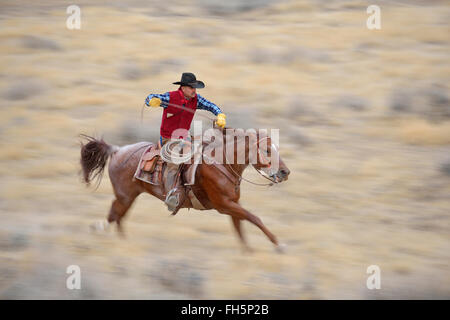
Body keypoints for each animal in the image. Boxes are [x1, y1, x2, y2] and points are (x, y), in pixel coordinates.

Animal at [80, 126, 292, 251]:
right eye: (267, 150)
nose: (285, 172)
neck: (222, 164)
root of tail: (117, 150)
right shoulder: (223, 205)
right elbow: (254, 218)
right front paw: (279, 244)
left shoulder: (233, 204)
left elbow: (240, 228)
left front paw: (248, 251)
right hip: (125, 195)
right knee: (114, 215)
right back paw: (104, 233)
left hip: (129, 197)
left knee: (118, 217)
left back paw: (122, 241)